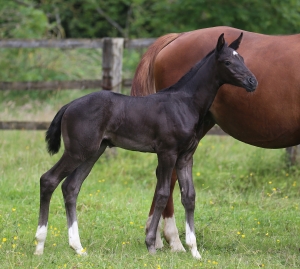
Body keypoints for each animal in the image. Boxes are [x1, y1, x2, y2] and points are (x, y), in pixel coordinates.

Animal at [34, 33, 255, 258]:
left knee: (71, 187)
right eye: (227, 62)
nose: (252, 81)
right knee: (49, 180)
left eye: (242, 58)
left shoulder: (186, 156)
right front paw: (151, 244)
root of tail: (69, 105)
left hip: (94, 152)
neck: (185, 103)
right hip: (77, 151)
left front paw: (194, 251)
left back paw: (77, 247)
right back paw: (40, 245)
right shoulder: (167, 152)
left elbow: (189, 196)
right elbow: (162, 194)